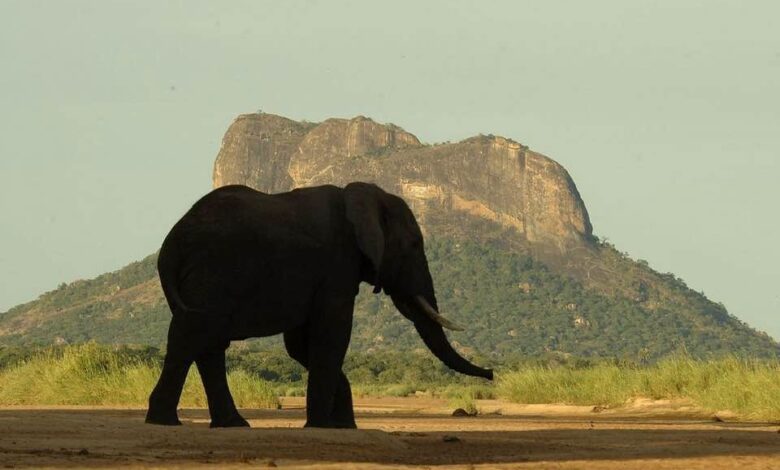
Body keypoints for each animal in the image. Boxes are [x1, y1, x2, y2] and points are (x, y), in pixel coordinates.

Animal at [145, 182, 493, 429]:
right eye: (414, 245)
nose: (491, 372)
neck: (360, 195)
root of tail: (170, 243)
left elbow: (301, 343)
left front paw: (344, 427)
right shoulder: (336, 264)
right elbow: (332, 333)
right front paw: (323, 426)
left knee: (208, 341)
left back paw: (232, 425)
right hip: (212, 271)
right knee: (193, 334)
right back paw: (165, 421)